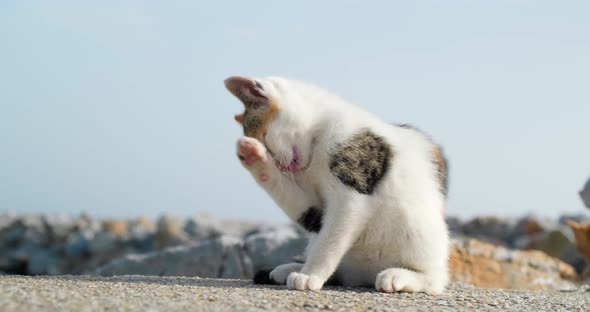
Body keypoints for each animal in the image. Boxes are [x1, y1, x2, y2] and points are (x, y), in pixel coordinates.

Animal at [224, 75, 450, 292]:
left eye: (265, 138)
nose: (280, 166)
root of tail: (364, 276)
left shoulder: (351, 196)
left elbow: (329, 240)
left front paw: (311, 275)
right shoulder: (316, 207)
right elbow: (308, 211)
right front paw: (253, 156)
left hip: (421, 233)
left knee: (434, 280)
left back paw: (398, 275)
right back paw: (287, 269)